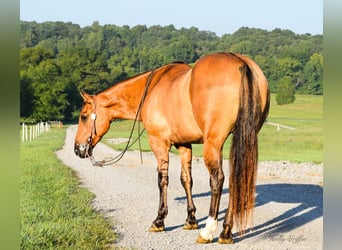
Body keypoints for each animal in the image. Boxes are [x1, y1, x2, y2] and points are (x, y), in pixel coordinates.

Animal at [74, 51, 270, 243]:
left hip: (213, 144)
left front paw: (159, 220)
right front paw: (191, 220)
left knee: (217, 180)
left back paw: (208, 231)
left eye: (84, 116)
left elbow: (162, 180)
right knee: (235, 180)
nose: (78, 149)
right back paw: (226, 232)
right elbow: (186, 180)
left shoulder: (159, 143)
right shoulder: (184, 145)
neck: (151, 89)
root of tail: (241, 62)